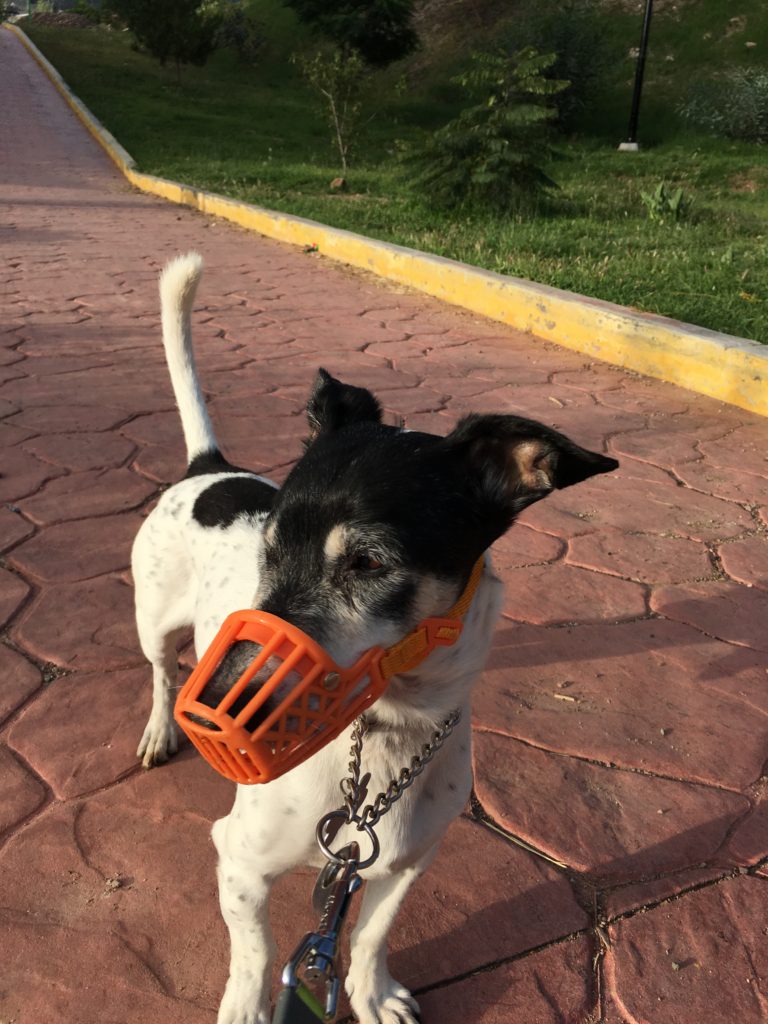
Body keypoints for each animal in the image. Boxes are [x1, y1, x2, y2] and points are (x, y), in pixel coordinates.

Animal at [132, 253, 622, 1024]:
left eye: (367, 563)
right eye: (270, 546)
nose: (213, 713)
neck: (384, 738)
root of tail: (208, 468)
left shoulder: (402, 863)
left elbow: (368, 933)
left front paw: (370, 992)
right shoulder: (236, 860)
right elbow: (256, 951)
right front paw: (246, 1005)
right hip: (153, 623)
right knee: (159, 671)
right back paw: (160, 727)